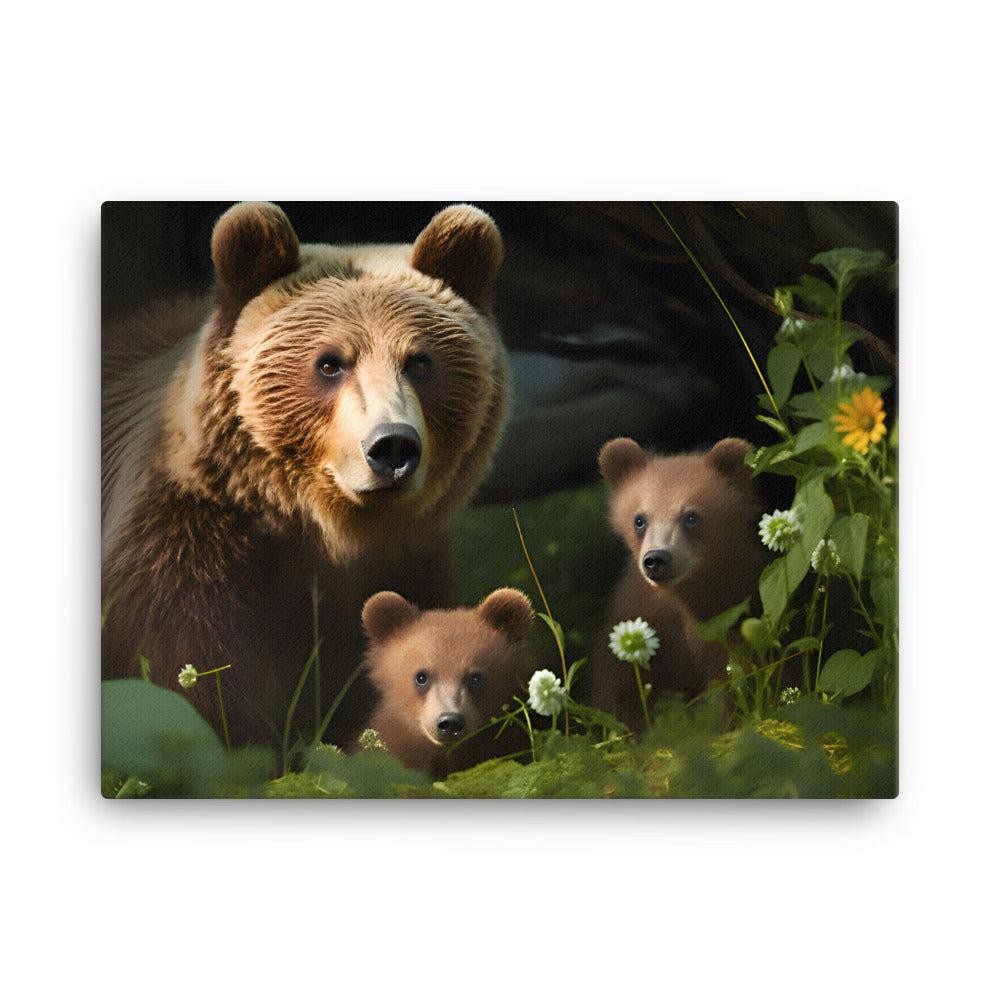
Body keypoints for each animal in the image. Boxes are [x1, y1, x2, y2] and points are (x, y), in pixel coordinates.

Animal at [102, 201, 509, 750]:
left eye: (420, 361)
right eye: (330, 363)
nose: (391, 446)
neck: (315, 529)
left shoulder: (404, 564)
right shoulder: (179, 554)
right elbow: (185, 679)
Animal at [589, 437, 766, 729]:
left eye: (691, 516)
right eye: (639, 519)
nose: (656, 559)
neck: (684, 598)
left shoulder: (729, 614)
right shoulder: (641, 613)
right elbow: (622, 691)